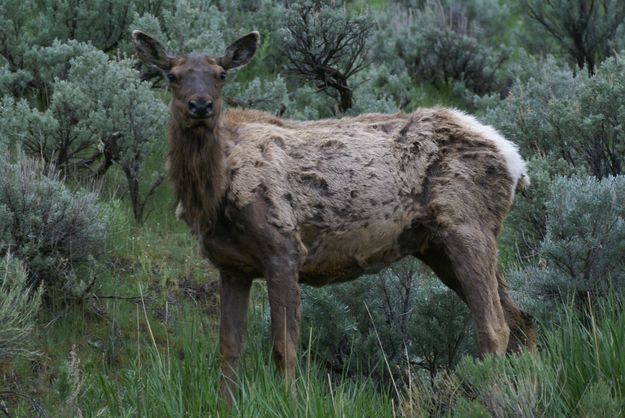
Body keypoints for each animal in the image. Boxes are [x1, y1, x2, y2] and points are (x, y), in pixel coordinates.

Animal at [132, 31, 536, 398]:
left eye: (221, 74)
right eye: (172, 75)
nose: (200, 106)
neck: (215, 196)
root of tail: (516, 161)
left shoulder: (283, 248)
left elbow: (284, 349)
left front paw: (290, 401)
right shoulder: (232, 266)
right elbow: (228, 352)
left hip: (467, 225)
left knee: (495, 326)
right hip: (436, 246)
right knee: (521, 319)